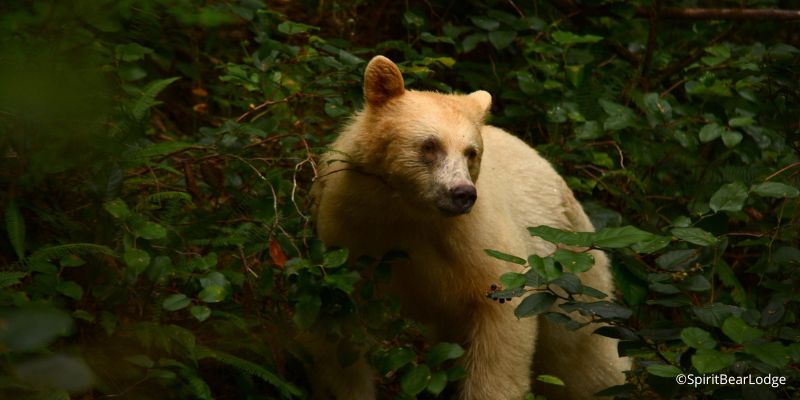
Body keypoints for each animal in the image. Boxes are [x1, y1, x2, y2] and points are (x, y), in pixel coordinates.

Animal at [312, 56, 632, 400]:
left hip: (570, 271)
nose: (462, 193)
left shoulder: (477, 241)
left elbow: (503, 317)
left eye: (471, 152)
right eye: (430, 145)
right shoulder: (352, 229)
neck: (408, 213)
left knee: (584, 358)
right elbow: (339, 332)